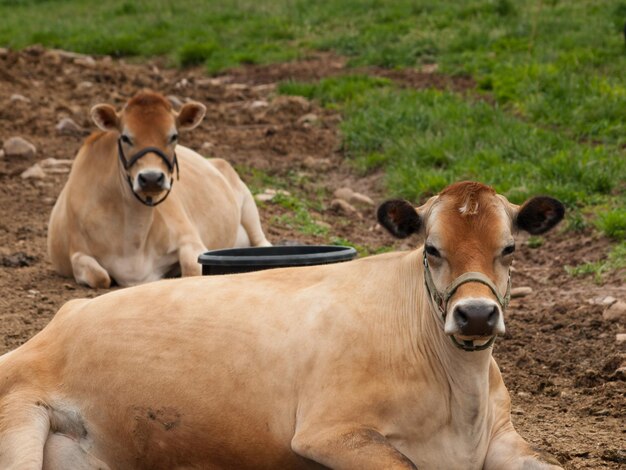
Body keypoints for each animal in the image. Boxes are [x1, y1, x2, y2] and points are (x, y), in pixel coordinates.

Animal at [2, 182, 564, 468]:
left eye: (509, 249)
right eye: (431, 248)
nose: (476, 313)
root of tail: (53, 324)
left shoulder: (503, 437)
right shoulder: (328, 431)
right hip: (19, 419)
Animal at [48, 90, 268, 288]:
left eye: (173, 136)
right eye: (125, 137)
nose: (151, 178)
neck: (132, 239)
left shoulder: (190, 238)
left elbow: (192, 270)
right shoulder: (78, 252)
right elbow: (100, 277)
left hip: (247, 202)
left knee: (262, 242)